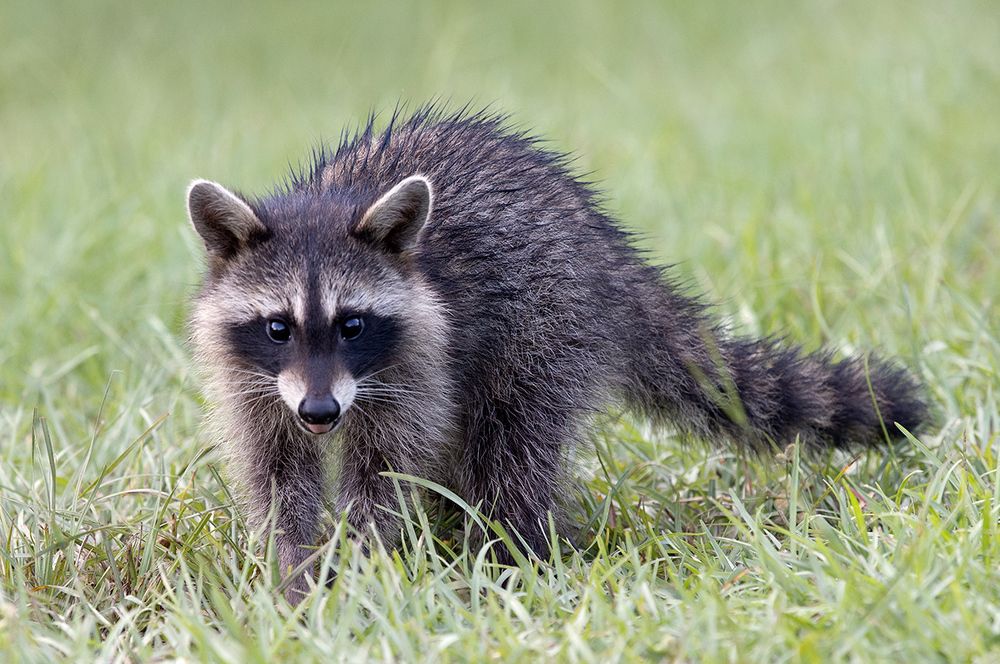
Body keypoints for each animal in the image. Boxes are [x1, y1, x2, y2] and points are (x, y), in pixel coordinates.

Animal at [187, 108, 927, 602]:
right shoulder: (255, 382)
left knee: (511, 449)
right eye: (277, 327)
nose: (319, 412)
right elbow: (278, 476)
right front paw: (294, 577)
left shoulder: (417, 358)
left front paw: (361, 570)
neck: (326, 202)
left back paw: (508, 562)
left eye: (352, 325)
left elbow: (383, 474)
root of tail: (602, 243)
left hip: (544, 323)